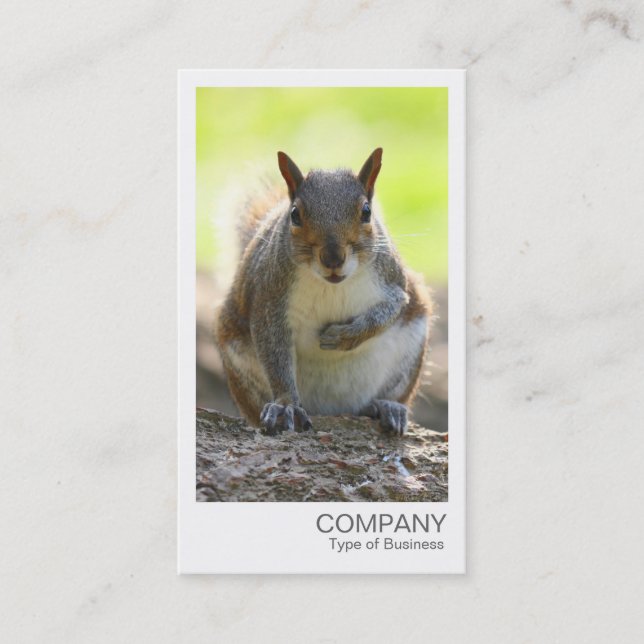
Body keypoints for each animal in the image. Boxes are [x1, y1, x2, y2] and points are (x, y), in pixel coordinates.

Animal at [213, 148, 432, 435]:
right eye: (295, 214)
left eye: (366, 212)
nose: (333, 258)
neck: (332, 285)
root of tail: (332, 410)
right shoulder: (269, 299)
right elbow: (274, 354)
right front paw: (285, 404)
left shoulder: (394, 282)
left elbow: (391, 309)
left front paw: (344, 337)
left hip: (410, 351)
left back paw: (386, 406)